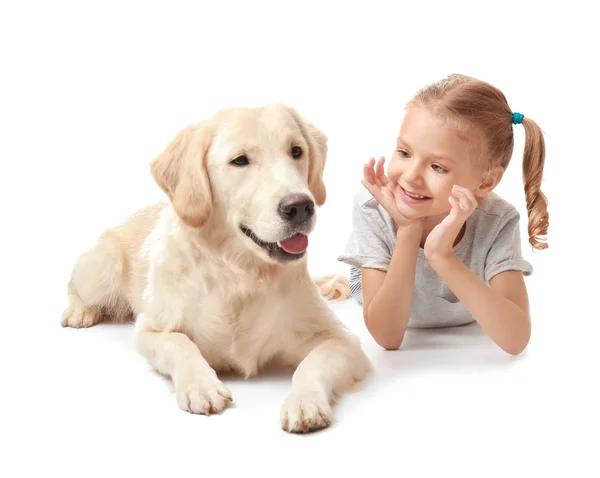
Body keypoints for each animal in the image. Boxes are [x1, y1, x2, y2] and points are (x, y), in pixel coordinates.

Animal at [61, 104, 370, 434]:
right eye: (240, 160)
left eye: (296, 151)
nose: (300, 206)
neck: (239, 273)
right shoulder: (151, 329)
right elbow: (180, 343)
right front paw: (202, 386)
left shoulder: (342, 339)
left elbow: (311, 365)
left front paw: (305, 401)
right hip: (101, 267)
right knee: (74, 284)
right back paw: (80, 311)